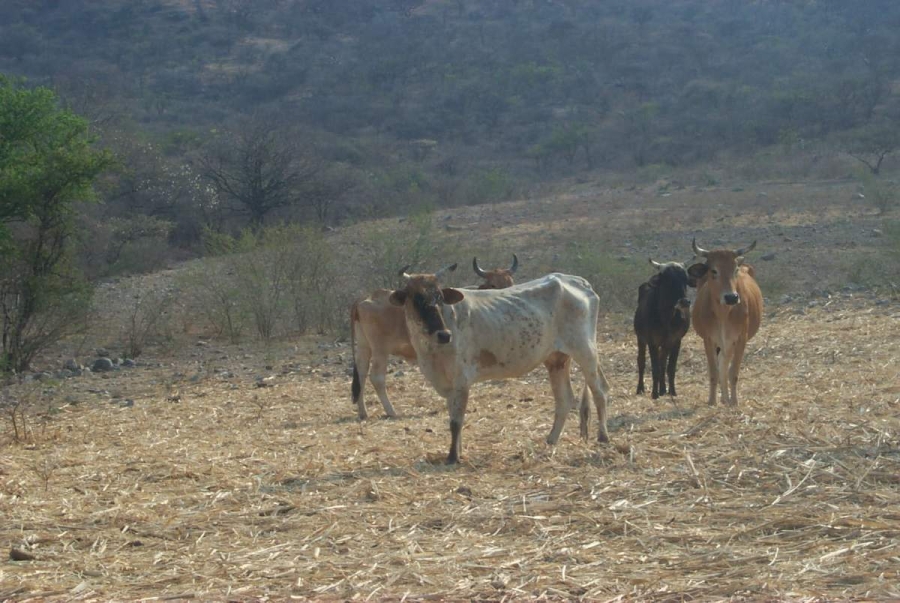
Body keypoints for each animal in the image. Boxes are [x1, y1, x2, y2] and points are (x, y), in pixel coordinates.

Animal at [352, 258, 520, 422]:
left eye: (510, 282)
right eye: (493, 284)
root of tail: (364, 299)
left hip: (364, 347)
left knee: (361, 373)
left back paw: (363, 412)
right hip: (380, 350)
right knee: (377, 377)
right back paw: (391, 411)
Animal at [388, 266, 612, 464]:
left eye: (440, 298)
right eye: (416, 298)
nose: (443, 335)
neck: (430, 351)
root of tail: (577, 281)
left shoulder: (461, 380)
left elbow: (455, 422)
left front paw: (452, 457)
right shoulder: (449, 385)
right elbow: (454, 418)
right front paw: (457, 452)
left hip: (586, 352)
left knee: (600, 391)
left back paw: (603, 436)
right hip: (556, 360)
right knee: (564, 399)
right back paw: (551, 440)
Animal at [632, 260, 696, 402]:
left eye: (685, 279)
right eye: (668, 280)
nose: (684, 302)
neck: (666, 318)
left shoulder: (676, 340)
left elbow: (670, 367)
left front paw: (672, 391)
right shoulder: (652, 342)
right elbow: (655, 368)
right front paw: (654, 394)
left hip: (666, 344)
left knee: (662, 361)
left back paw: (663, 389)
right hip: (640, 338)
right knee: (641, 361)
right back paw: (640, 388)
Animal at [684, 239, 764, 406]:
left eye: (735, 269)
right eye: (714, 271)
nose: (731, 297)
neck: (723, 314)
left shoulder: (740, 339)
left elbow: (733, 371)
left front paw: (733, 401)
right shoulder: (709, 339)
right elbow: (714, 371)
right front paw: (712, 401)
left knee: (725, 364)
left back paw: (726, 398)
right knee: (721, 365)